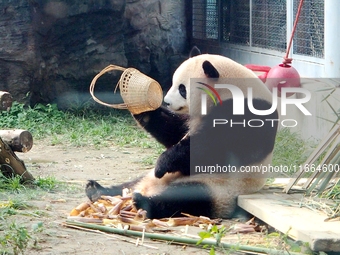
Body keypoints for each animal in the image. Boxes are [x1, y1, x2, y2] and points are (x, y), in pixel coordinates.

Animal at [85, 47, 278, 219]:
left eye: (182, 89)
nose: (167, 102)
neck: (234, 89)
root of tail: (150, 188)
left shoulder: (248, 113)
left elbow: (211, 150)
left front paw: (163, 163)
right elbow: (174, 132)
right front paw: (143, 107)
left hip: (219, 188)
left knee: (188, 199)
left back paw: (145, 203)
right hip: (145, 178)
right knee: (128, 184)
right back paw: (97, 190)